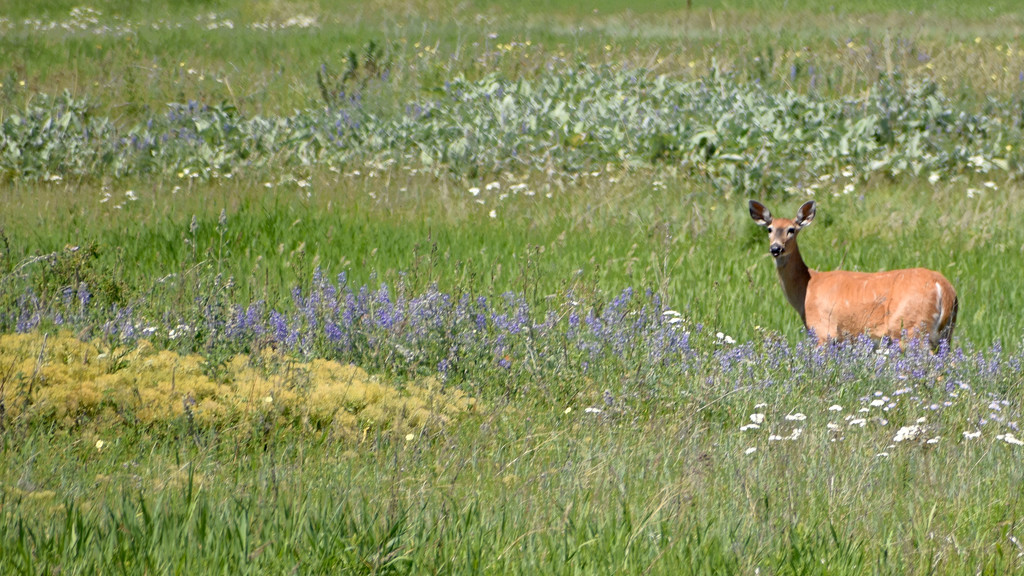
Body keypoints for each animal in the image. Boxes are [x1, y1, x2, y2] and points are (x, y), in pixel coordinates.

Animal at [749, 196, 954, 350]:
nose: (776, 249)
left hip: (912, 329)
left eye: (791, 230)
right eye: (769, 229)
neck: (807, 288)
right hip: (945, 333)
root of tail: (945, 289)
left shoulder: (823, 331)